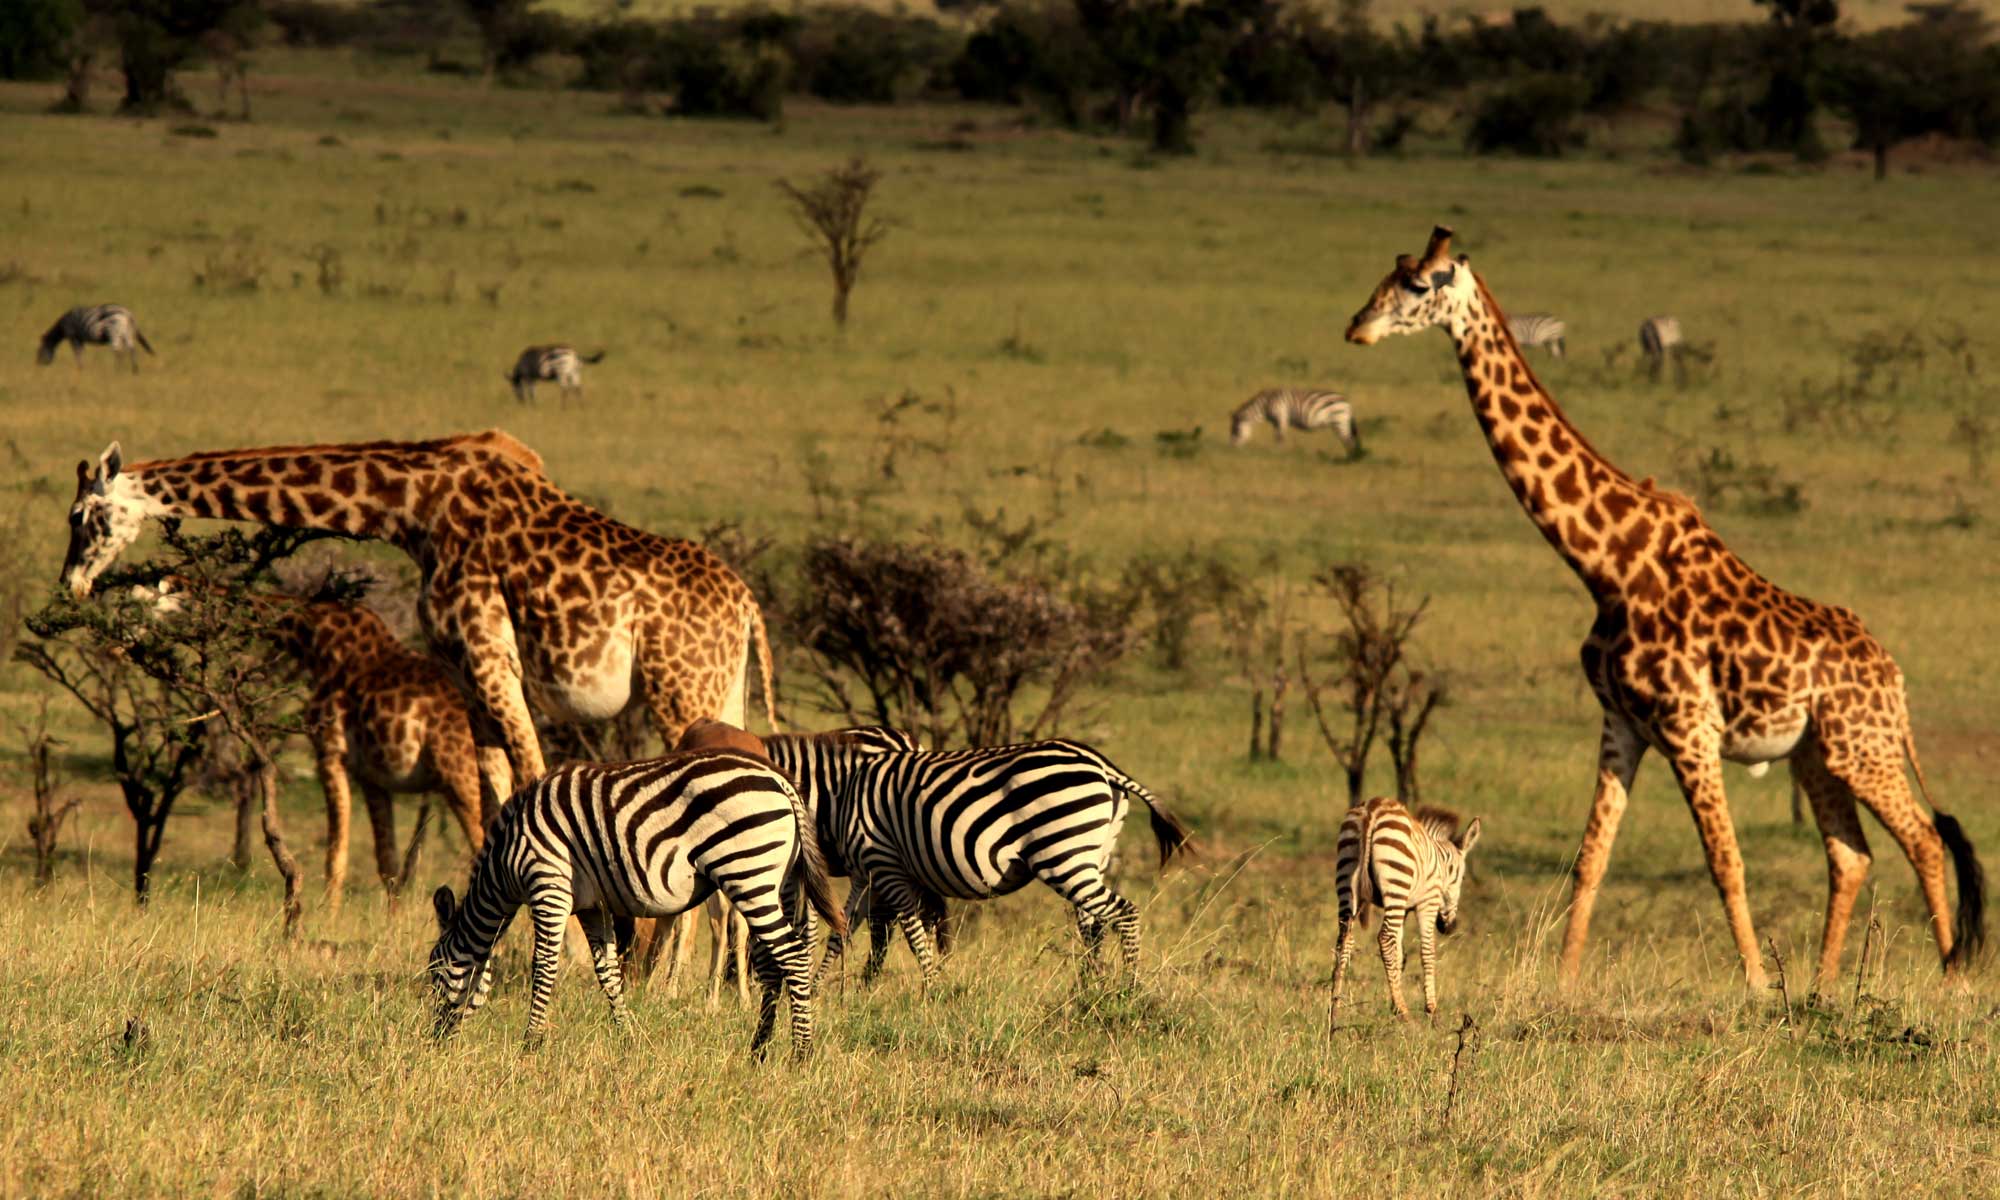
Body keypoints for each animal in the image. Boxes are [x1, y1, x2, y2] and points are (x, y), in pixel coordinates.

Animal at [58, 428, 776, 788]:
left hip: (680, 691)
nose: (71, 584)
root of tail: (747, 606)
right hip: (723, 688)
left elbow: (532, 776)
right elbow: (495, 790)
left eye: (81, 516)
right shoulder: (465, 672)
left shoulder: (489, 657)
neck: (413, 508)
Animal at [430, 752, 844, 1056]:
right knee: (775, 962)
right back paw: (758, 1050)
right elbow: (608, 974)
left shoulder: (549, 887)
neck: (506, 860)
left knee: (793, 956)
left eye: (434, 973)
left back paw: (801, 1053)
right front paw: (628, 1037)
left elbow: (544, 967)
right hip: (777, 881)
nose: (433, 1042)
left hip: (747, 872)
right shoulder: (592, 906)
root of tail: (780, 781)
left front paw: (531, 1043)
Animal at [1216, 390, 1360, 454]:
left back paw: (1350, 458)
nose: (1231, 447)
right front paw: (1276, 451)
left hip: (1339, 421)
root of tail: (1347, 403)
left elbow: (1280, 436)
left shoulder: (1281, 417)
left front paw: (1279, 453)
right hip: (1339, 423)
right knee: (1348, 440)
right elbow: (1276, 436)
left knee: (1349, 440)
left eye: (1235, 430)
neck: (1266, 404)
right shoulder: (1276, 422)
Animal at [1328, 796, 1488, 1032]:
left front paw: (1394, 1005)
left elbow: (1400, 955)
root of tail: (1372, 809)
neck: (1440, 863)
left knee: (1344, 941)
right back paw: (1405, 1014)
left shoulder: (1403, 909)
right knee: (1384, 938)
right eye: (1463, 878)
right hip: (1396, 880)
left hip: (1347, 879)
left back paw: (1334, 1012)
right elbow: (1427, 953)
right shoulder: (1428, 902)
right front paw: (1431, 1012)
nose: (1449, 927)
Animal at [1344, 225, 1984, 992]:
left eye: (1416, 285)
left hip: (1864, 750)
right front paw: (1563, 981)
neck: (1606, 564)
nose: (1357, 327)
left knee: (1922, 836)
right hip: (1815, 756)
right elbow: (1591, 858)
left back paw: (1951, 972)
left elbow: (1725, 860)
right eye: (1387, 275)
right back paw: (1825, 983)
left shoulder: (1689, 726)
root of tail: (1895, 680)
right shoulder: (1622, 722)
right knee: (1851, 853)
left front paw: (1757, 984)